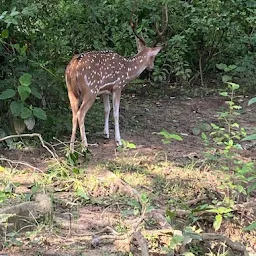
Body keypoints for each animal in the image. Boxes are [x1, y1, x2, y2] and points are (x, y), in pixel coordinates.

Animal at [65, 9, 167, 152]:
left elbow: (106, 109)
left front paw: (106, 134)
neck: (128, 71)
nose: (152, 68)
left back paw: (71, 148)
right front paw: (119, 140)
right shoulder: (118, 86)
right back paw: (85, 146)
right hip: (90, 90)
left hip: (71, 90)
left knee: (74, 114)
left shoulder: (104, 91)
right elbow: (116, 113)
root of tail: (73, 69)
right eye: (153, 57)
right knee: (80, 113)